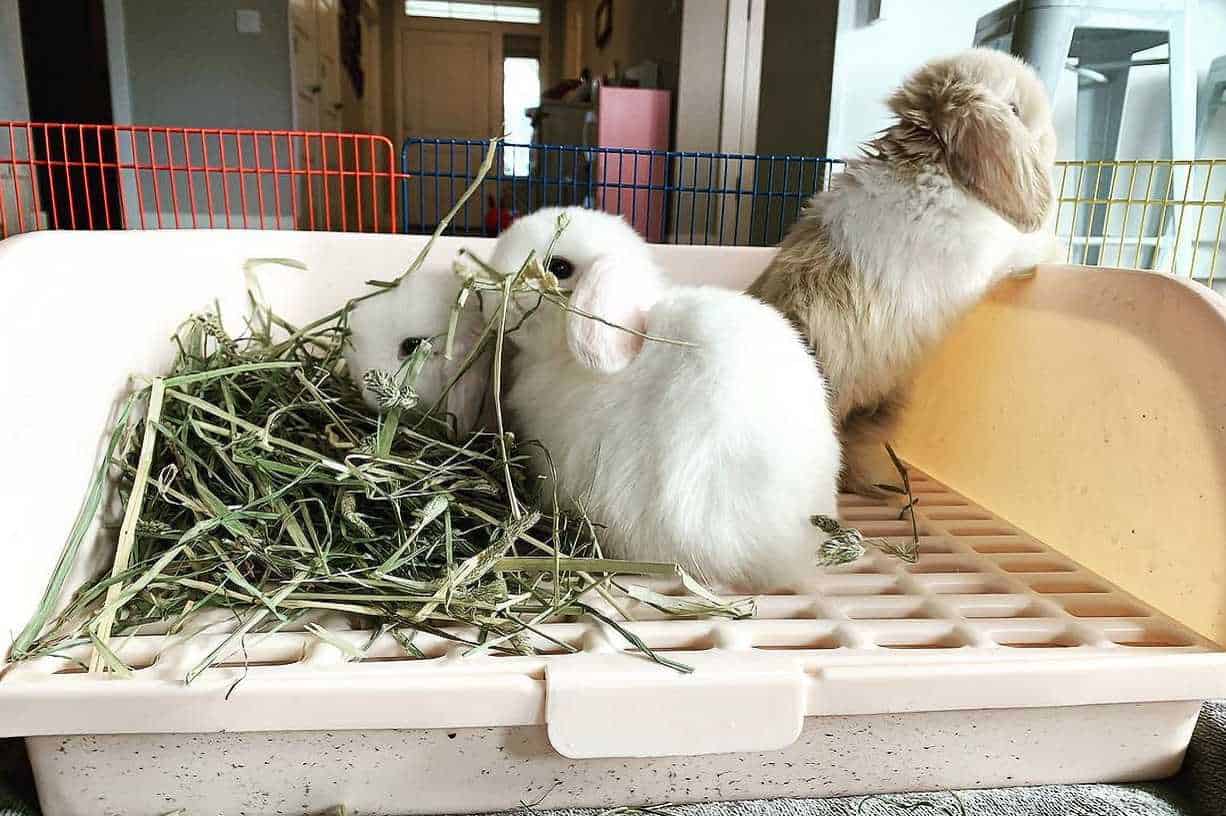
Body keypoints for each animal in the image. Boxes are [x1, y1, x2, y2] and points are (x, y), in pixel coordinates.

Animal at [745, 49, 1064, 494]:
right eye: (1014, 110)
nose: (1054, 140)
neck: (935, 165)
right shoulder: (997, 252)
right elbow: (1031, 247)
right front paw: (1061, 248)